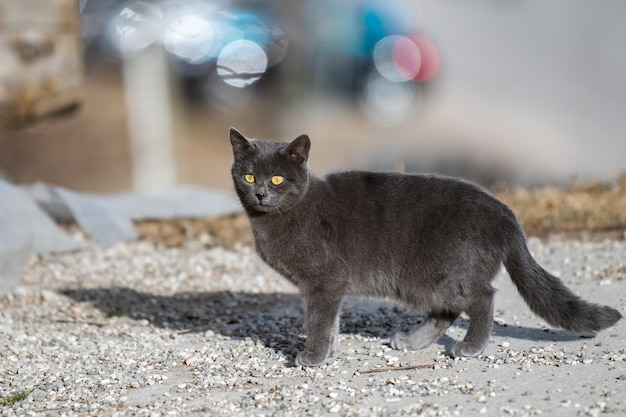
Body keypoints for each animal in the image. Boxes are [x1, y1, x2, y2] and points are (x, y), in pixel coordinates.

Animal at [228, 128, 620, 366]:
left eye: (277, 178)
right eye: (248, 175)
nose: (260, 192)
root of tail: (508, 215)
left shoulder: (325, 281)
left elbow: (319, 320)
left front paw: (313, 355)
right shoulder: (330, 288)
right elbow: (331, 321)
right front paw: (330, 350)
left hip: (432, 274)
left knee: (483, 298)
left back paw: (470, 347)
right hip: (426, 280)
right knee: (447, 311)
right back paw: (413, 340)